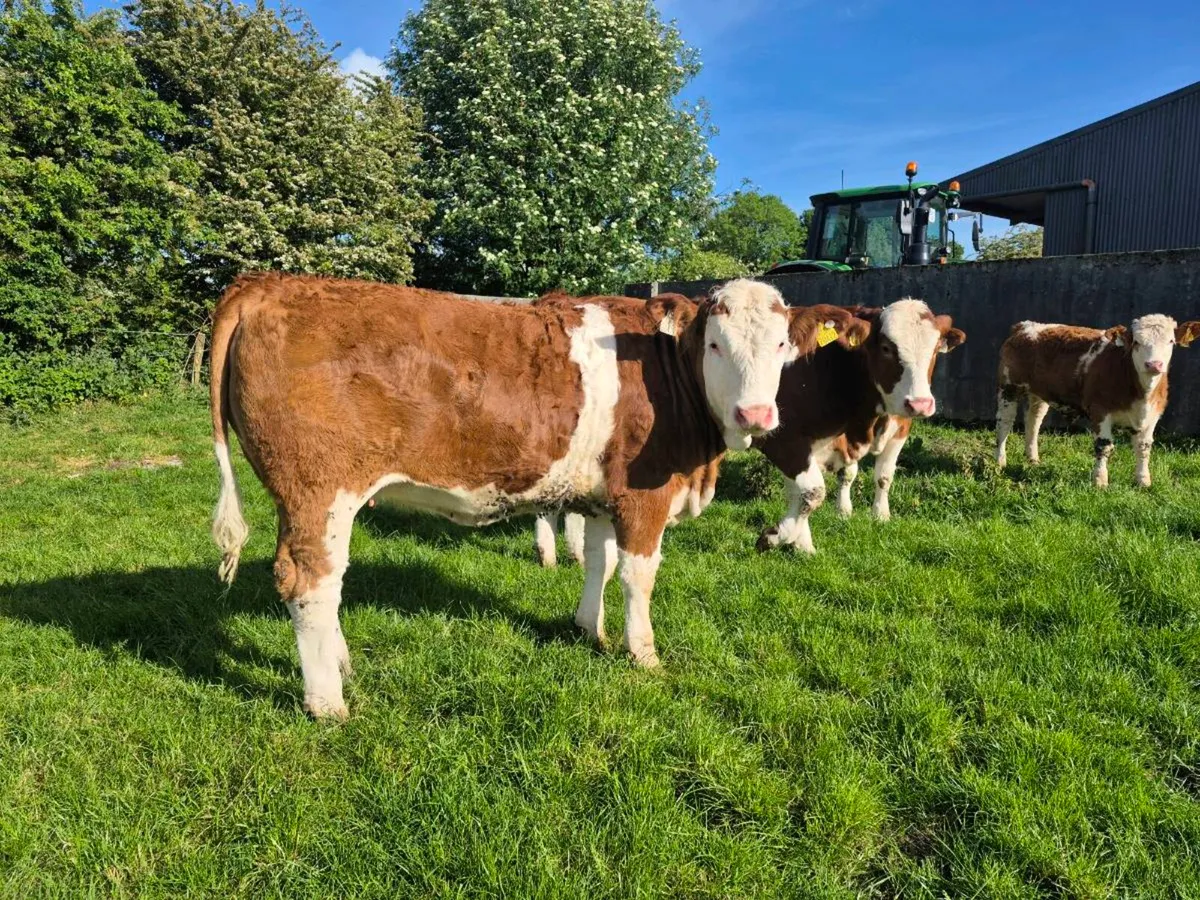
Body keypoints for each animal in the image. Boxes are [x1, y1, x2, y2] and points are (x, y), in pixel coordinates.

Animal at [208, 273, 849, 718]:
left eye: (782, 348)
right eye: (714, 344)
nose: (756, 414)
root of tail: (269, 283)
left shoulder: (601, 496)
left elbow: (598, 562)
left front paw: (590, 630)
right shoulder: (644, 497)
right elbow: (637, 576)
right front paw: (643, 654)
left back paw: (341, 665)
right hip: (319, 491)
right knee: (311, 583)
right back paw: (328, 702)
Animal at [536, 297, 966, 563]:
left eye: (934, 350)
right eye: (887, 347)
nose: (921, 403)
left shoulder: (890, 431)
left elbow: (872, 478)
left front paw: (861, 521)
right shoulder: (783, 440)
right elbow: (812, 492)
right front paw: (779, 537)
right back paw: (555, 550)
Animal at [995, 315, 1200, 487]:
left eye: (1171, 341)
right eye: (1136, 342)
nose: (1154, 364)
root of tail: (1025, 326)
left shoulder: (1153, 414)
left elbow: (1144, 447)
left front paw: (1143, 481)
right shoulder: (1100, 410)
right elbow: (1103, 446)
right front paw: (1100, 481)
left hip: (1039, 393)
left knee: (1033, 421)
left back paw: (1033, 460)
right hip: (1009, 387)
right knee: (1004, 423)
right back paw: (1000, 461)